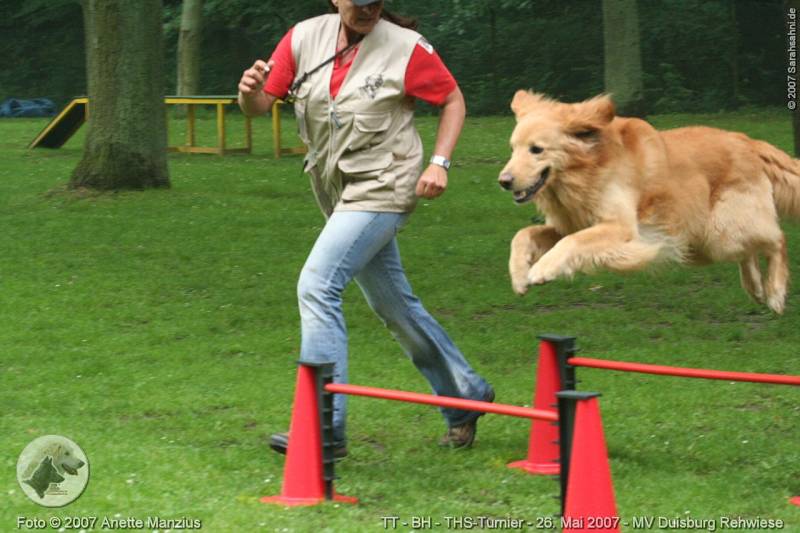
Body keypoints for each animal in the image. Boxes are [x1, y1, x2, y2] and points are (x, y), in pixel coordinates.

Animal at [498, 91, 800, 314]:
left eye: (537, 149)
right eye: (513, 149)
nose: (504, 181)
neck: (587, 169)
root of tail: (748, 142)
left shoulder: (619, 227)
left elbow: (571, 242)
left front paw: (541, 270)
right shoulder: (567, 224)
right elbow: (523, 235)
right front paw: (519, 275)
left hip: (720, 229)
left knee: (777, 239)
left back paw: (774, 293)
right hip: (708, 240)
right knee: (751, 250)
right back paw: (756, 288)